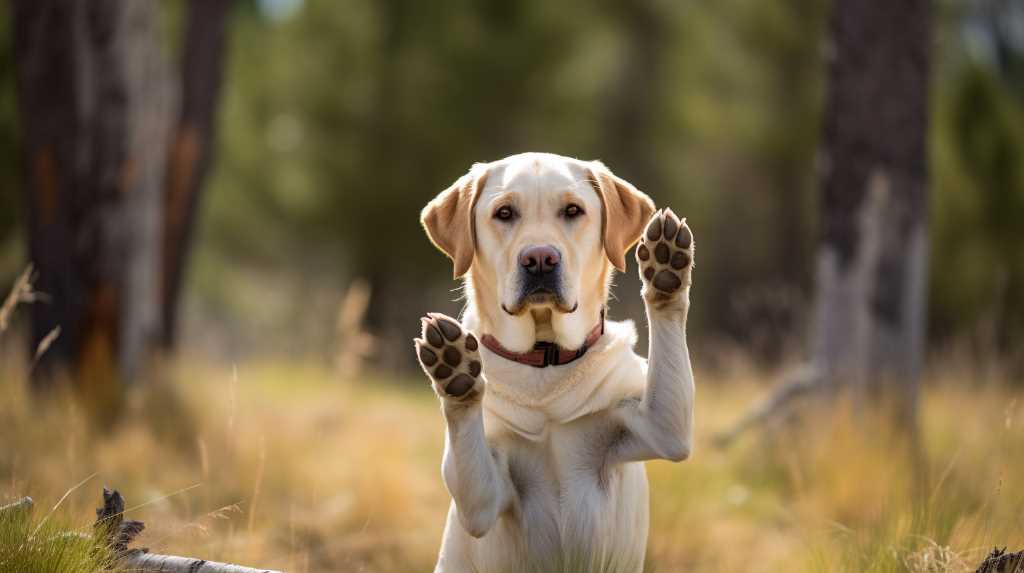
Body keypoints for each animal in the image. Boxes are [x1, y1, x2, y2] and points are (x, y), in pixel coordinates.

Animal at [415, 152, 696, 573]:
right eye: (504, 213)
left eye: (573, 210)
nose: (540, 259)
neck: (545, 362)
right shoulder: (482, 501)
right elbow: (466, 425)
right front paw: (455, 370)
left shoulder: (660, 430)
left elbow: (666, 318)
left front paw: (666, 272)